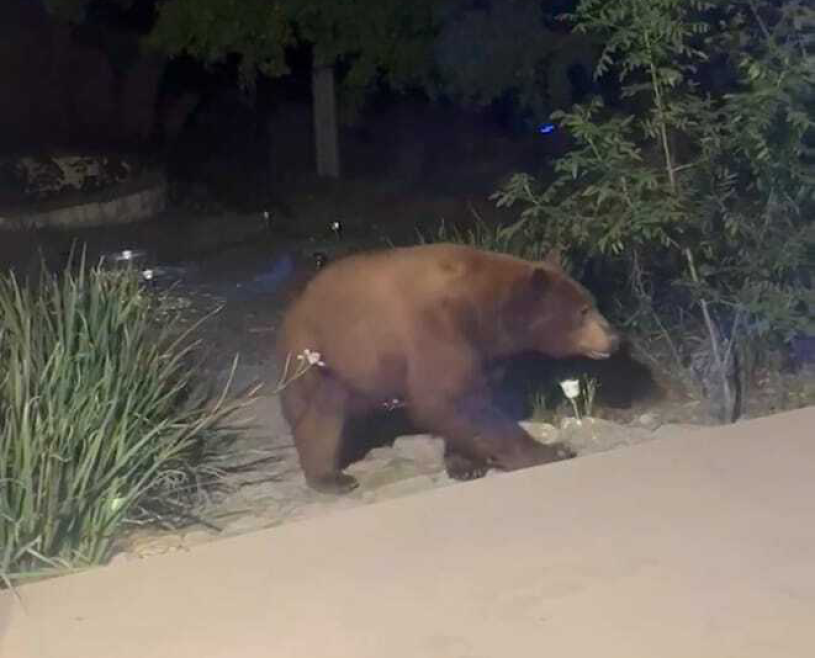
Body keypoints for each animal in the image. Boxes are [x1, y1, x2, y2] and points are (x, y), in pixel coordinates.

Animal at [275, 243, 620, 494]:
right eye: (583, 311)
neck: (485, 312)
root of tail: (296, 303)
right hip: (323, 355)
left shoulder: (485, 353)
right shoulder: (437, 330)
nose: (615, 338)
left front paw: (465, 464)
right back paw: (331, 478)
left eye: (594, 302)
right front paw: (551, 450)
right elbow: (451, 399)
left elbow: (466, 403)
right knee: (320, 417)